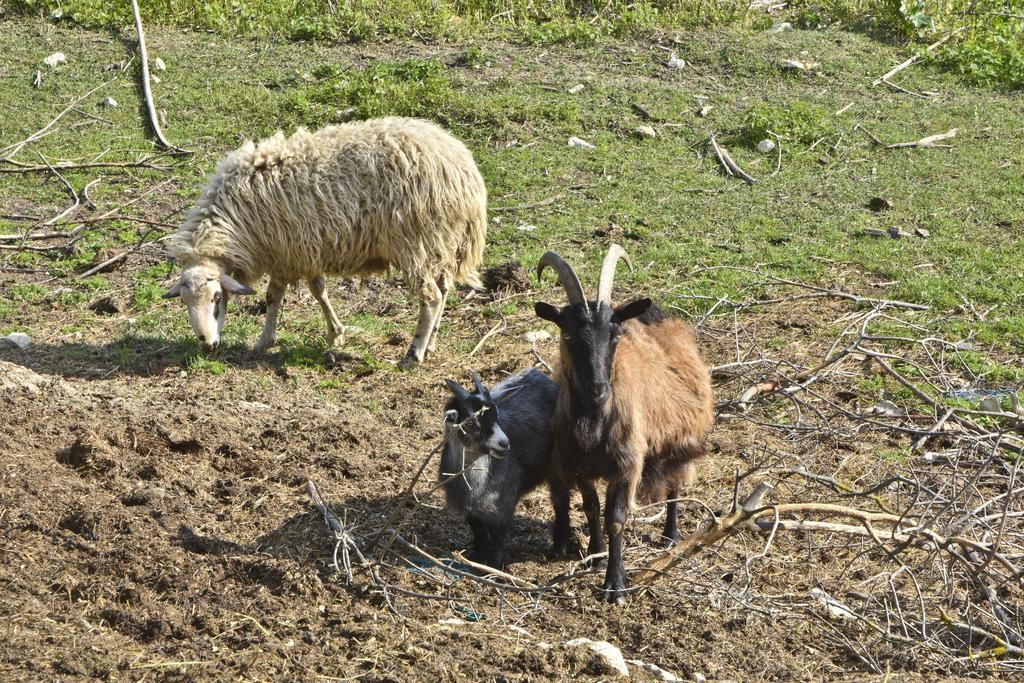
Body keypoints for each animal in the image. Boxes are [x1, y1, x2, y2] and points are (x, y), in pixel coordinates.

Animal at [162, 117, 487, 368]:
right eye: (184, 302)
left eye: (217, 299)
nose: (207, 345)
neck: (236, 221)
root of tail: (464, 169)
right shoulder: (303, 250)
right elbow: (316, 290)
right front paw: (334, 333)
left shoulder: (289, 252)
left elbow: (276, 296)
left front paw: (265, 340)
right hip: (441, 241)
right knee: (444, 290)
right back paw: (430, 343)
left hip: (416, 241)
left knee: (430, 297)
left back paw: (413, 354)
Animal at [536, 244, 712, 602]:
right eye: (567, 333)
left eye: (615, 334)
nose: (598, 389)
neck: (594, 422)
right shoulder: (579, 465)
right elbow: (591, 508)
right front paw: (596, 554)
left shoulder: (627, 464)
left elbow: (615, 519)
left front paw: (614, 584)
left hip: (676, 443)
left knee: (674, 486)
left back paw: (670, 536)